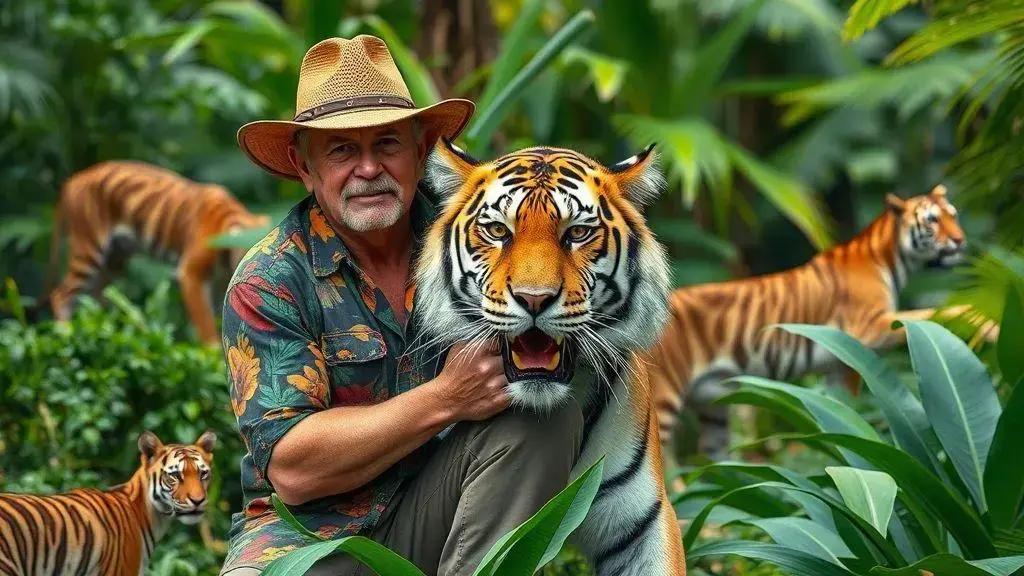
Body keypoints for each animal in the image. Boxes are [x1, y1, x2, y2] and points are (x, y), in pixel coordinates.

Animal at [47, 160, 270, 345]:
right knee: (61, 294)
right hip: (89, 250)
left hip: (114, 261)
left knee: (94, 298)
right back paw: (66, 334)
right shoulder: (190, 275)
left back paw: (106, 328)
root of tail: (74, 179)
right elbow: (206, 324)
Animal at [648, 185, 987, 466]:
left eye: (953, 215)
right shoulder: (868, 330)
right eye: (932, 221)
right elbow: (931, 314)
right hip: (662, 402)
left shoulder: (836, 366)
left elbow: (838, 407)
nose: (960, 240)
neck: (892, 258)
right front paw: (985, 324)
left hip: (714, 407)